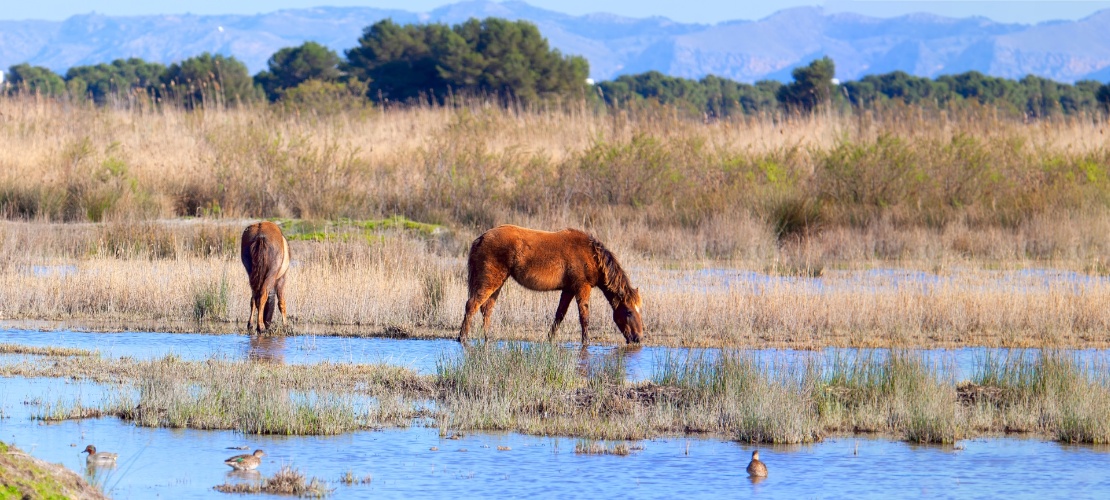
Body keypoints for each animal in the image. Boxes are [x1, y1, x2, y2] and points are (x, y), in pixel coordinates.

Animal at [455, 225, 643, 346]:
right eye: (628, 312)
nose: (638, 338)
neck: (592, 255)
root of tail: (481, 238)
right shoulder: (582, 288)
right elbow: (584, 317)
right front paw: (585, 341)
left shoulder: (568, 290)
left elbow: (559, 315)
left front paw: (550, 338)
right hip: (490, 281)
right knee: (472, 305)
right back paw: (462, 338)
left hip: (497, 283)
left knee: (486, 309)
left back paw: (487, 337)